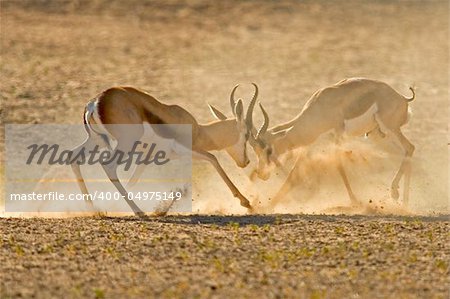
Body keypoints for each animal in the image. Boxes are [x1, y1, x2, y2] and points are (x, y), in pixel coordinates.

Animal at [70, 84, 256, 216]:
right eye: (247, 134)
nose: (246, 161)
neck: (199, 131)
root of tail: (95, 102)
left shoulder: (147, 158)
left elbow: (132, 182)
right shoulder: (188, 150)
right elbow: (213, 159)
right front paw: (246, 203)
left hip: (97, 141)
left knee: (74, 157)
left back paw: (93, 209)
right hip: (125, 142)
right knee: (108, 166)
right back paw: (139, 212)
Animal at [250, 78, 414, 209]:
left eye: (268, 150)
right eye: (256, 151)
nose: (262, 174)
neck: (319, 106)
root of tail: (403, 98)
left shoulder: (337, 135)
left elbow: (339, 165)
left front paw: (355, 202)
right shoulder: (311, 143)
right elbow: (293, 172)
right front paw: (268, 206)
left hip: (391, 129)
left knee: (409, 148)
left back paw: (398, 197)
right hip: (377, 135)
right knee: (406, 151)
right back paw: (403, 201)